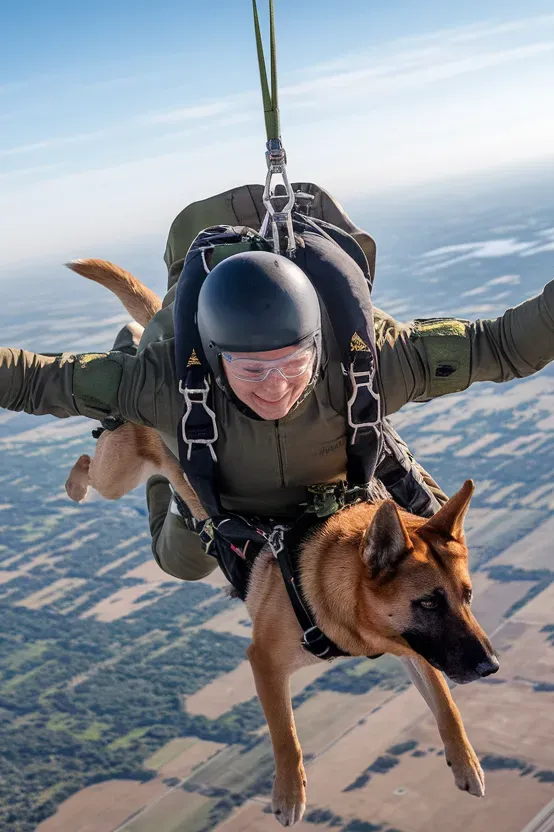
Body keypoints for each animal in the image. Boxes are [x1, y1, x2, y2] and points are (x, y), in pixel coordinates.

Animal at [67, 260, 498, 824]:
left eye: (467, 596)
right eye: (428, 602)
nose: (491, 666)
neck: (332, 585)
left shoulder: (412, 646)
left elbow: (444, 699)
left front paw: (465, 760)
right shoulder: (265, 661)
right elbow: (284, 732)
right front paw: (289, 793)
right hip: (117, 469)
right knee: (94, 466)